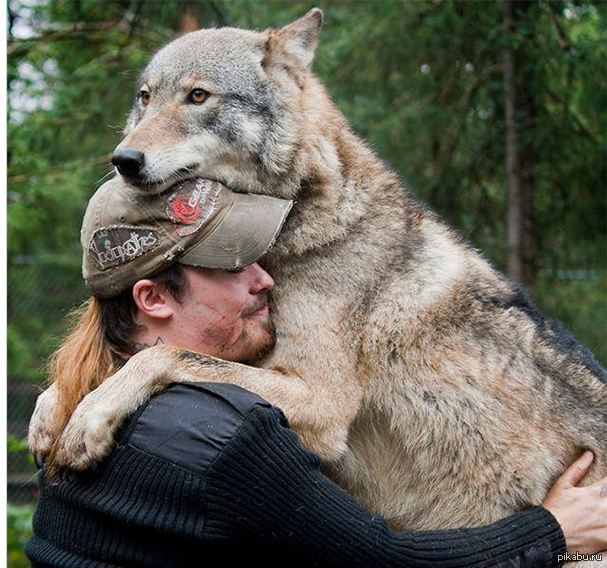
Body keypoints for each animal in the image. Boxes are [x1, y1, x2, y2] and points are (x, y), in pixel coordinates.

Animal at [29, 7, 607, 560]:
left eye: (197, 96)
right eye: (145, 99)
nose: (124, 160)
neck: (302, 215)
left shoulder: (323, 400)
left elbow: (165, 354)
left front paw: (90, 415)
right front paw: (51, 411)